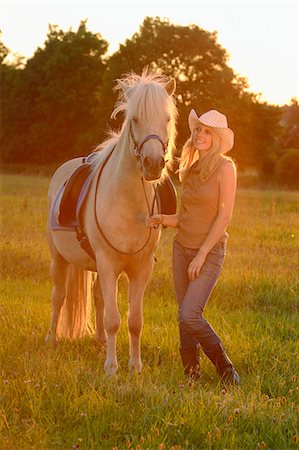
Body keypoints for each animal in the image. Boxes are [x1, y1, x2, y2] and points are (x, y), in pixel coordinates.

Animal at [45, 72, 177, 374]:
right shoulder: (108, 263)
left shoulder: (140, 269)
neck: (128, 202)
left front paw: (135, 366)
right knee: (59, 296)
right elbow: (114, 319)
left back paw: (100, 341)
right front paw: (111, 368)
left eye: (166, 119)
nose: (153, 164)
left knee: (97, 298)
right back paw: (52, 339)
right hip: (60, 258)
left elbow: (134, 320)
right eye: (135, 119)